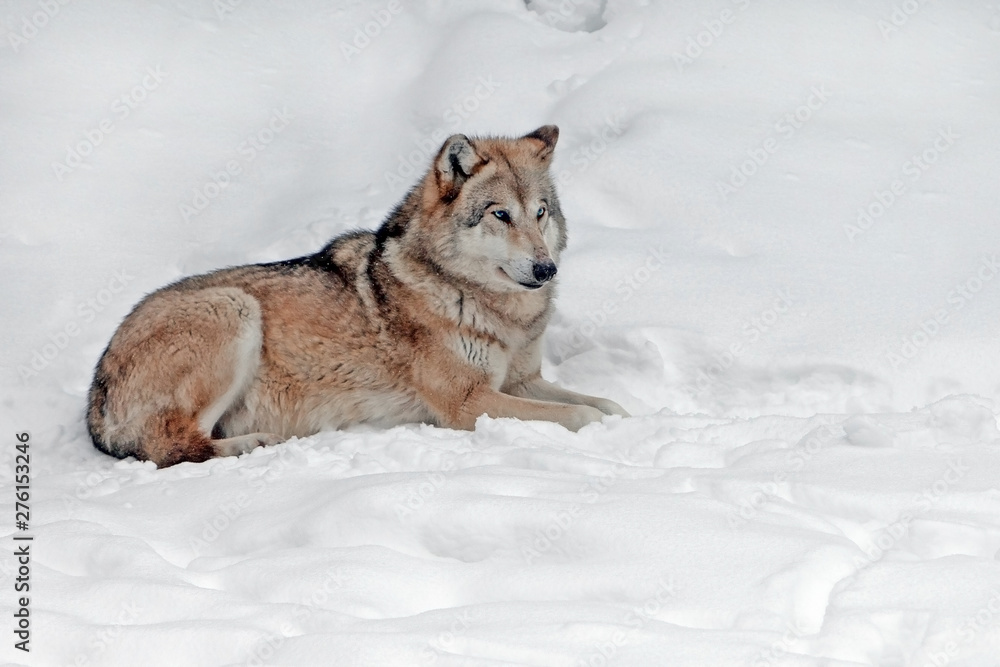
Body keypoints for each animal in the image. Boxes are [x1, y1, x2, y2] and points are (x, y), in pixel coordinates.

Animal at [87, 125, 629, 467]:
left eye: (540, 212)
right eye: (500, 215)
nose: (546, 268)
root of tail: (97, 383)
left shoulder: (521, 380)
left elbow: (605, 403)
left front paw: (628, 416)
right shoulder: (468, 402)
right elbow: (579, 413)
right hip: (234, 308)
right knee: (173, 447)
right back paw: (254, 445)